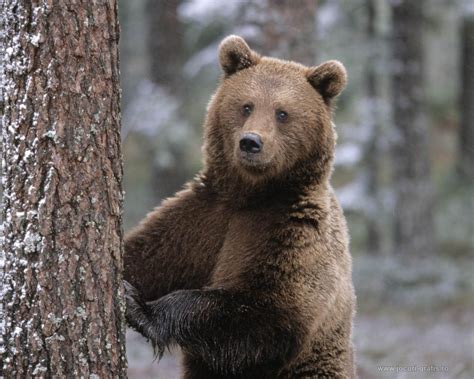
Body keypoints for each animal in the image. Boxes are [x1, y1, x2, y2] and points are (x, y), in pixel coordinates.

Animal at [124, 36, 358, 379]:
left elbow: (265, 312)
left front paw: (142, 310)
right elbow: (147, 255)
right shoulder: (203, 218)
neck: (252, 194)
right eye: (246, 105)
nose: (251, 142)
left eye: (282, 113)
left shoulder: (292, 233)